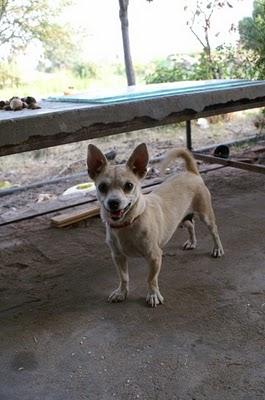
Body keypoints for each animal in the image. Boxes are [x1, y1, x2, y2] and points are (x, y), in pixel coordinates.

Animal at [86, 143, 223, 306]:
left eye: (129, 186)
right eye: (102, 187)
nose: (113, 202)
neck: (128, 223)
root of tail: (191, 172)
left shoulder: (154, 256)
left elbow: (151, 278)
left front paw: (153, 295)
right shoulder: (118, 257)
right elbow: (123, 277)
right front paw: (121, 292)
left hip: (206, 216)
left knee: (214, 231)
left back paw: (217, 249)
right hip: (181, 218)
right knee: (191, 225)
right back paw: (191, 242)